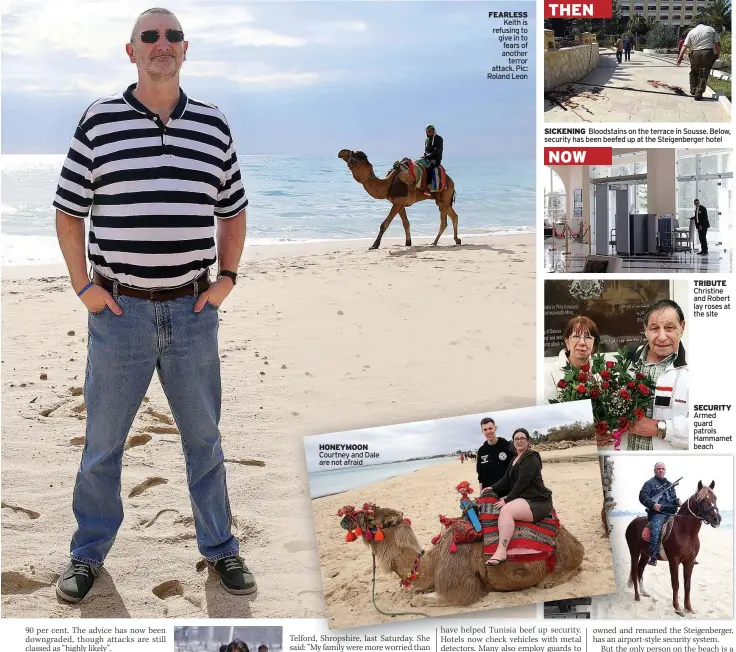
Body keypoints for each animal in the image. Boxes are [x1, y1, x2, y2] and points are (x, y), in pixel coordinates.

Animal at [336, 484, 584, 608]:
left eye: (369, 518)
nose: (344, 519)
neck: (433, 562)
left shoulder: (460, 587)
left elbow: (421, 599)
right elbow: (418, 591)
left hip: (563, 557)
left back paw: (549, 582)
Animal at [624, 478, 720, 616]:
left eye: (715, 498)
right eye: (701, 500)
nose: (716, 519)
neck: (685, 532)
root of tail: (632, 522)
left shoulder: (689, 562)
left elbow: (687, 585)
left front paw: (688, 607)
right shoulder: (674, 561)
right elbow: (676, 584)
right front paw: (677, 608)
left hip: (645, 554)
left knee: (640, 570)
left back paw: (644, 592)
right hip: (634, 552)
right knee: (634, 570)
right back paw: (637, 596)